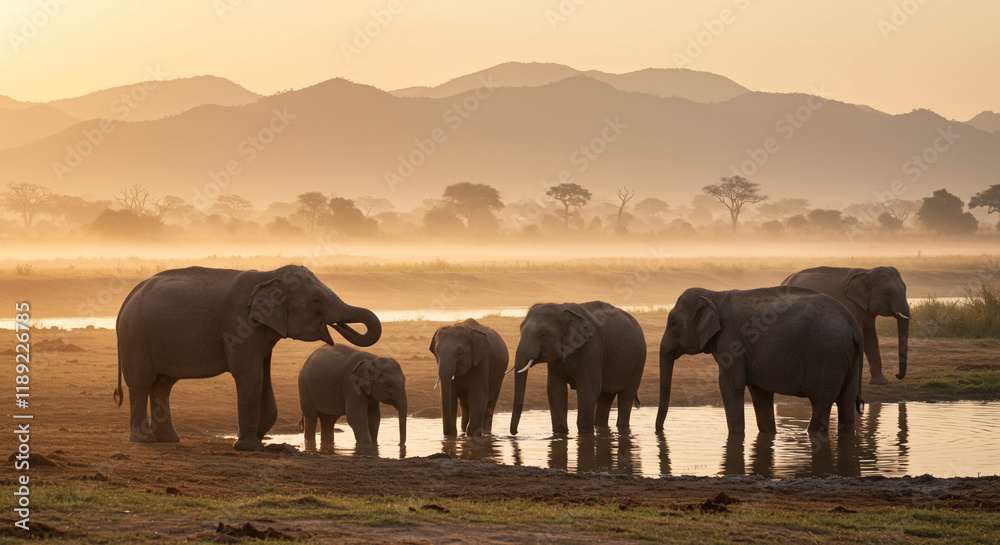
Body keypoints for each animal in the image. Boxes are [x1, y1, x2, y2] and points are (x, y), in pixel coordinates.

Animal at [115, 265, 381, 451]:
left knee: (163, 385)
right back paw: (144, 440)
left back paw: (169, 440)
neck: (269, 275)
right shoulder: (239, 325)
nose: (339, 328)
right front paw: (249, 447)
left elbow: (264, 378)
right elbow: (251, 376)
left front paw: (261, 441)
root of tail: (131, 293)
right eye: (316, 301)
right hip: (136, 335)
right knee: (141, 382)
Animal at [510, 301, 645, 436]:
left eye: (543, 334)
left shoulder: (592, 349)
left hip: (639, 359)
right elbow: (555, 391)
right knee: (605, 397)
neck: (561, 308)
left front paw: (584, 434)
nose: (515, 433)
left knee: (626, 396)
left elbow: (588, 390)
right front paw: (560, 433)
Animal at [655, 286, 863, 439]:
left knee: (821, 403)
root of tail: (852, 322)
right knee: (846, 403)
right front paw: (767, 434)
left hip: (826, 356)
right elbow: (760, 392)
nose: (658, 431)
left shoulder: (731, 339)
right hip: (846, 358)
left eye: (673, 323)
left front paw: (736, 436)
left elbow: (731, 385)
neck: (713, 295)